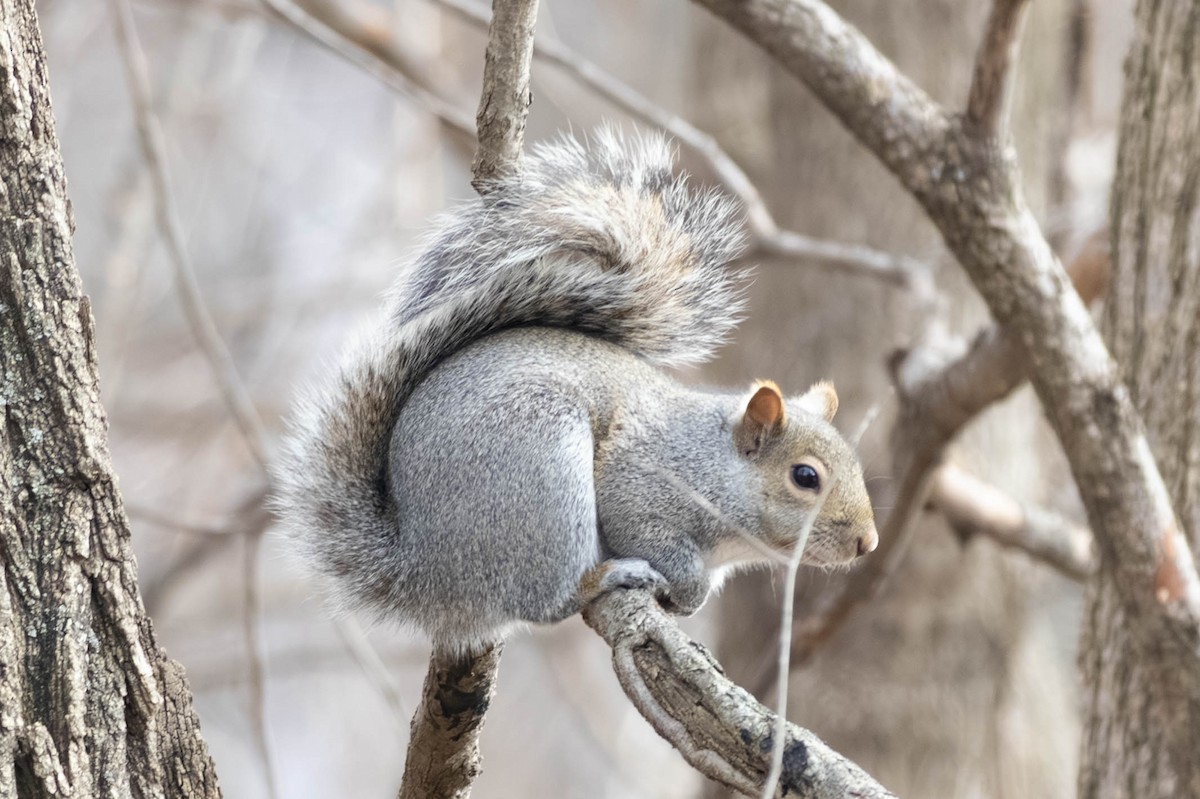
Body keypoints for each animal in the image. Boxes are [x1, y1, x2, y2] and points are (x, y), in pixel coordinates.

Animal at [275, 130, 878, 655]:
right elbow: (653, 536)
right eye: (805, 477)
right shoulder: (643, 484)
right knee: (546, 600)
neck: (712, 462)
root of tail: (424, 566)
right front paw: (685, 590)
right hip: (540, 473)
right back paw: (606, 577)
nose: (867, 544)